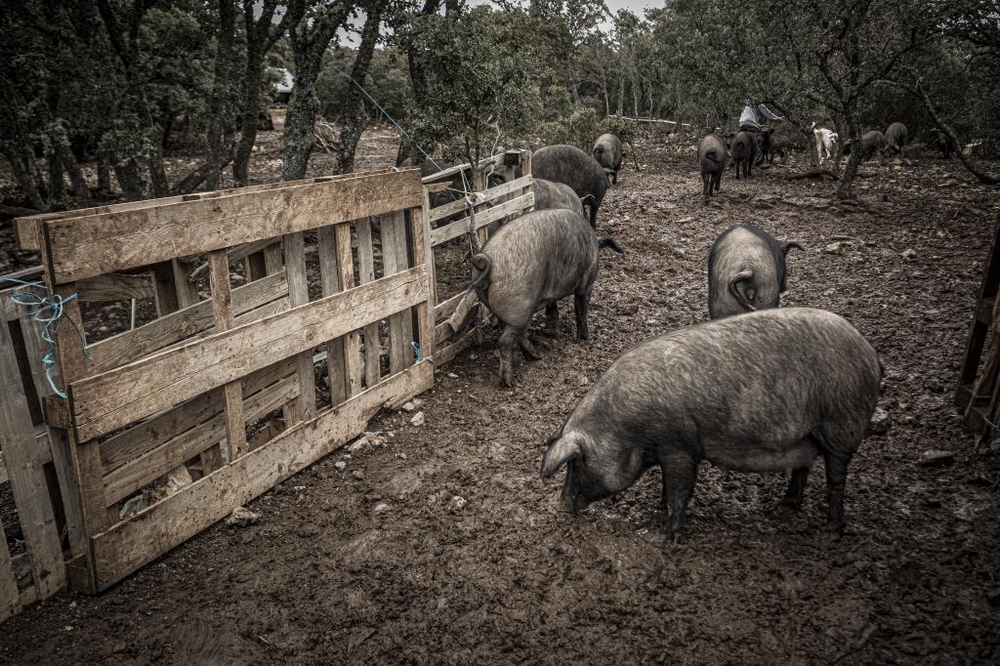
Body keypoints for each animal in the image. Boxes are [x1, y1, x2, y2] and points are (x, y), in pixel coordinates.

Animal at [470, 206, 624, 384]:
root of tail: (488, 259)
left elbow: (553, 307)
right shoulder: (586, 283)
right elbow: (581, 310)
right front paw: (586, 338)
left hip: (511, 308)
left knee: (519, 335)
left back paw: (536, 356)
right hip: (520, 302)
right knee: (505, 341)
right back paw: (510, 382)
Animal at [540, 306, 884, 536]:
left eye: (575, 463)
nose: (561, 506)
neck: (627, 427)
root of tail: (871, 353)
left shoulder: (681, 446)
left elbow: (680, 490)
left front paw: (667, 533)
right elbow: (668, 486)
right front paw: (659, 513)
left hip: (842, 425)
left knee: (836, 477)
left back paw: (831, 530)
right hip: (808, 434)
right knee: (803, 467)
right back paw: (784, 507)